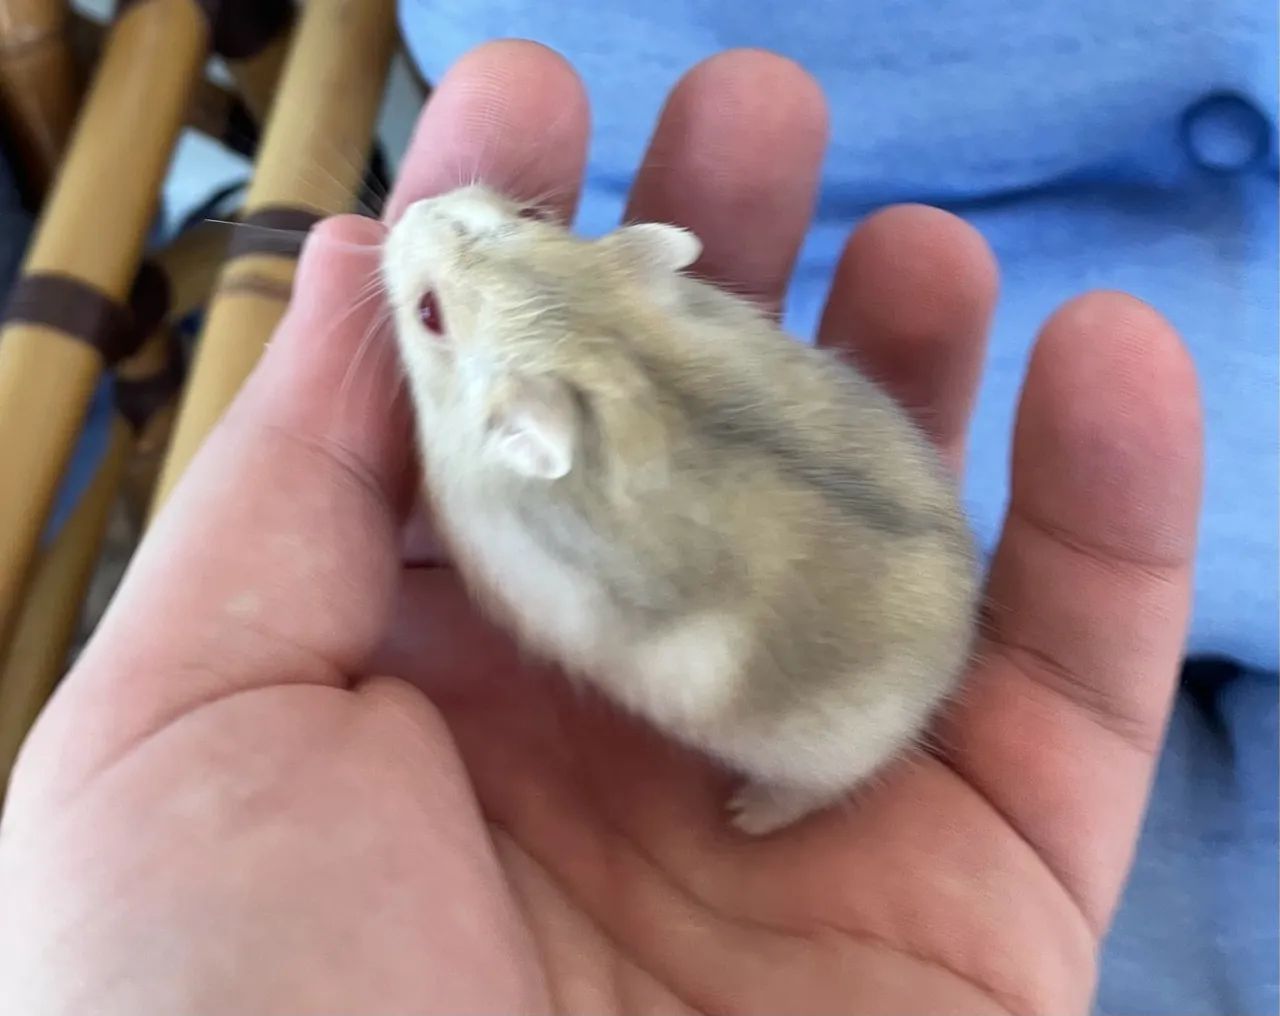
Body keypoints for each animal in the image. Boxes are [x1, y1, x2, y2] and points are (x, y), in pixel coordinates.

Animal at [382, 185, 979, 836]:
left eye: (429, 313)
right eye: (528, 213)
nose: (408, 210)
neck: (604, 347)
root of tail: (956, 652)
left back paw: (746, 815)